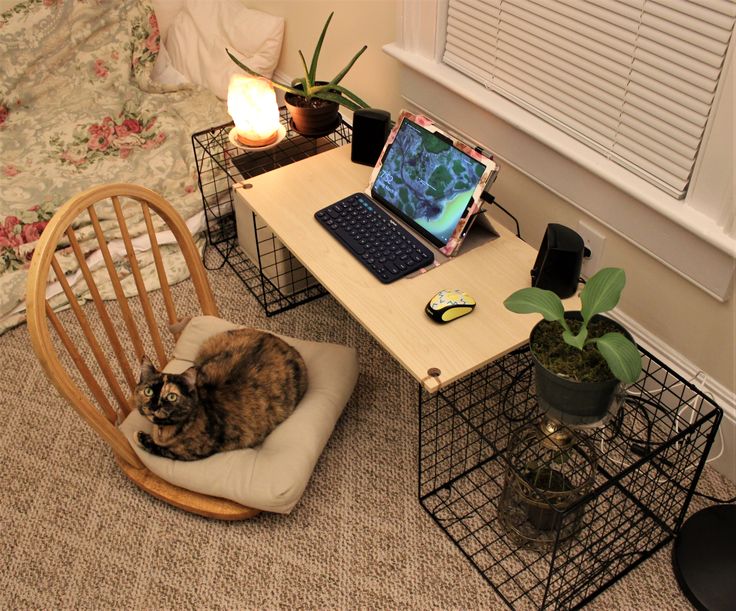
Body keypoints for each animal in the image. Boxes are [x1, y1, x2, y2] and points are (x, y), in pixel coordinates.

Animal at [134, 330, 308, 460]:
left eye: (171, 396)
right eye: (148, 391)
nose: (154, 406)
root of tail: (284, 343)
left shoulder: (189, 453)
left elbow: (162, 449)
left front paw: (140, 437)